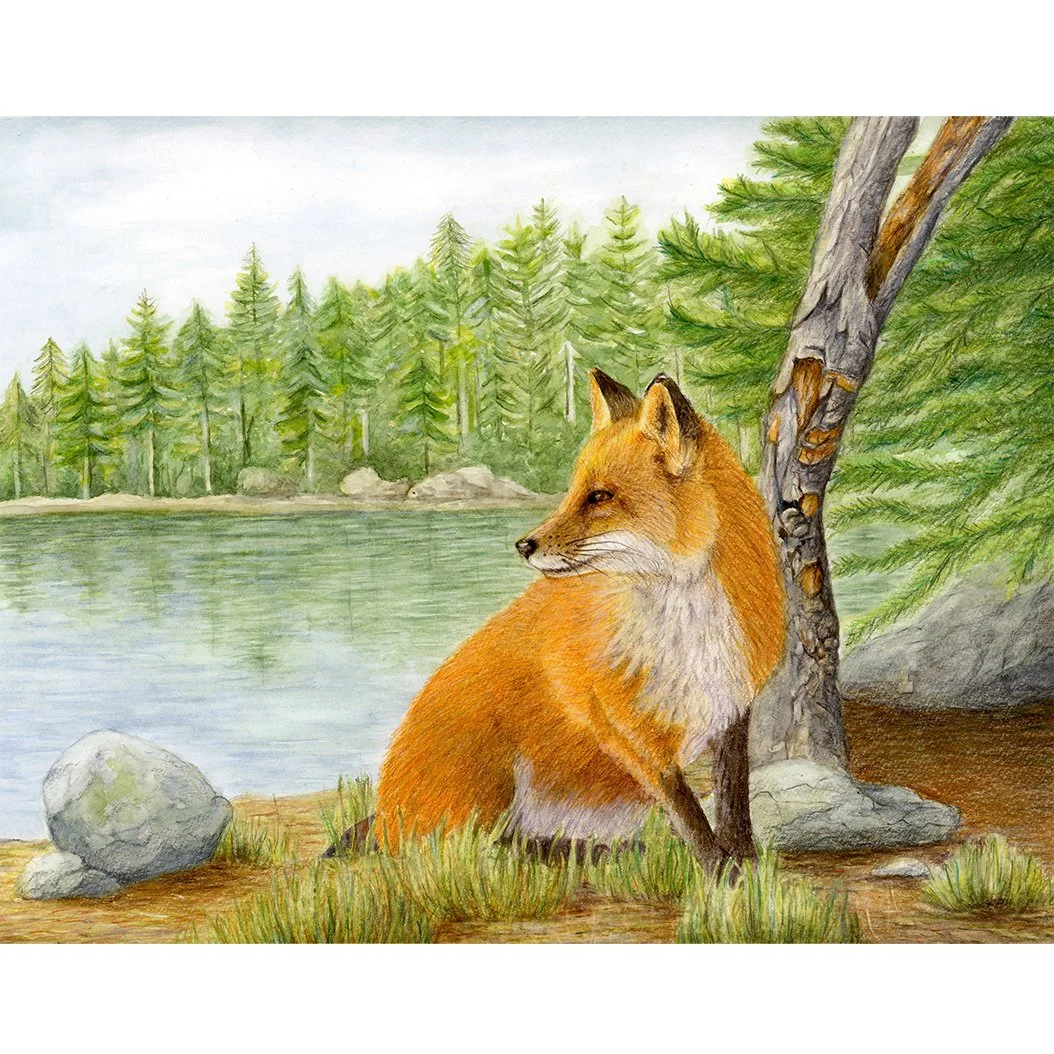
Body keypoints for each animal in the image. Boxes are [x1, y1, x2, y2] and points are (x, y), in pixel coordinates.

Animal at [359, 369, 786, 870]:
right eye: (572, 491)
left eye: (600, 496)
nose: (524, 545)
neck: (687, 626)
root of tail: (384, 814)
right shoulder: (625, 727)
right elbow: (689, 817)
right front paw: (722, 874)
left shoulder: (732, 709)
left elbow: (733, 805)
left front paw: (748, 867)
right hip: (487, 784)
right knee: (477, 853)